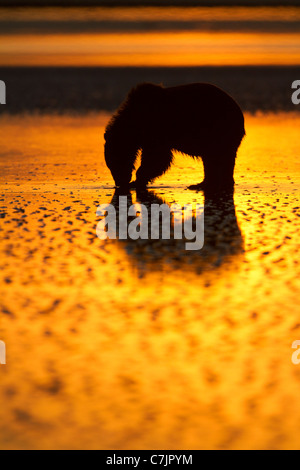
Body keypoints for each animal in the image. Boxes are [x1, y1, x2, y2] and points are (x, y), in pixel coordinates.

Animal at [104, 82, 245, 191]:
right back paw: (205, 183)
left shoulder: (156, 130)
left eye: (113, 164)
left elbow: (157, 158)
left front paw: (136, 181)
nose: (118, 183)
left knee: (218, 157)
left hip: (217, 129)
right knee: (214, 159)